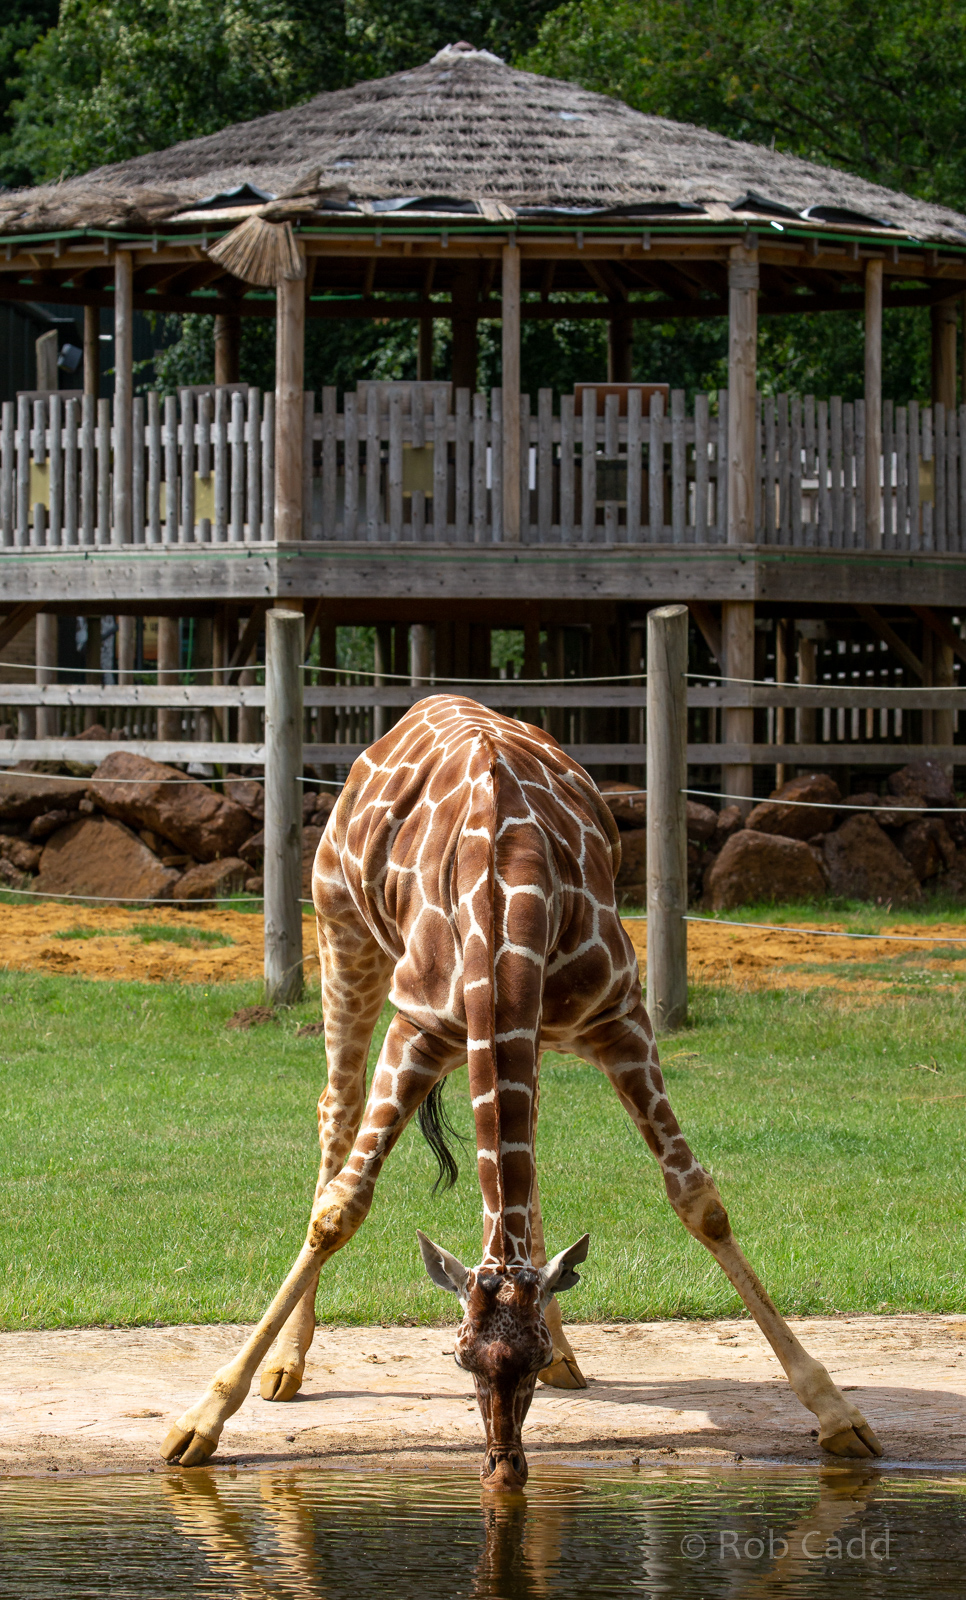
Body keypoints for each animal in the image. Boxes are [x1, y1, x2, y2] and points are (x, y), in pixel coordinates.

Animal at [161, 695, 882, 1487]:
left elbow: (699, 1201)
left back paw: (571, 1351)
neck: (508, 897)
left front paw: (838, 1414)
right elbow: (339, 1212)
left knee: (518, 1150)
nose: (503, 1471)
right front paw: (200, 1421)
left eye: (527, 1359)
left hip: (519, 1033)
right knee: (336, 1112)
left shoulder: (619, 1019)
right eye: (458, 1358)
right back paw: (286, 1368)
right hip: (342, 933)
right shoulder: (420, 1028)